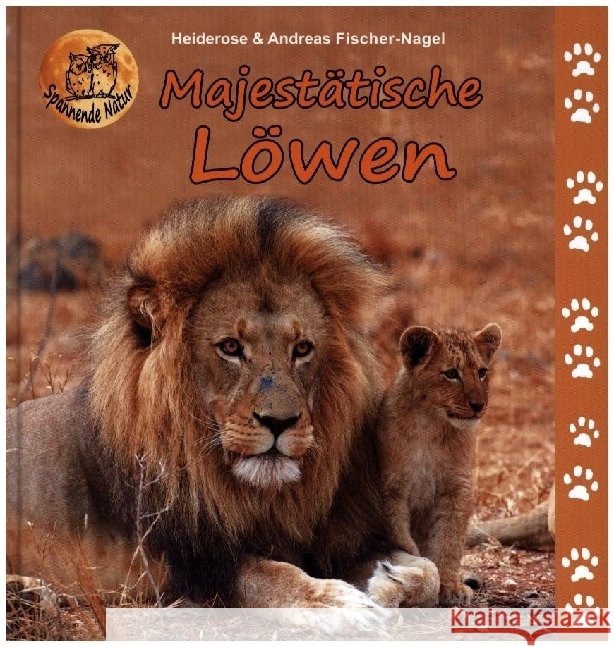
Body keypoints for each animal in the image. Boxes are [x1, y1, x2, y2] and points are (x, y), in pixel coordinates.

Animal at [7, 196, 439, 609]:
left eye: (302, 349)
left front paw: (389, 580)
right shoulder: (193, 566)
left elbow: (428, 571)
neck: (260, 497)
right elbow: (276, 576)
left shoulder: (335, 537)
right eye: (230, 347)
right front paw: (339, 601)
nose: (279, 422)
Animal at [378, 323, 501, 606]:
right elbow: (403, 539)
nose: (479, 405)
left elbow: (449, 541)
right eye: (451, 374)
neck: (430, 426)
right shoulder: (391, 490)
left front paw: (450, 586)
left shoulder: (456, 488)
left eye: (482, 372)